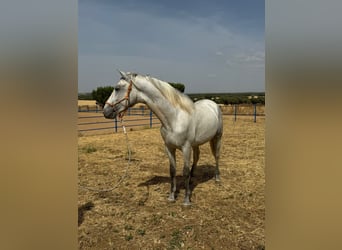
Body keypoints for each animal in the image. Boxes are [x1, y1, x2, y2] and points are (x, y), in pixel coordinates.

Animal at [103, 71, 223, 205]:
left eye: (117, 88)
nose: (105, 111)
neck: (174, 118)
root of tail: (213, 104)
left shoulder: (186, 148)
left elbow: (185, 171)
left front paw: (186, 200)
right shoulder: (169, 147)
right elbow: (172, 171)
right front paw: (171, 197)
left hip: (217, 138)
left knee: (216, 156)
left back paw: (217, 178)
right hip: (196, 144)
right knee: (197, 157)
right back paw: (193, 178)